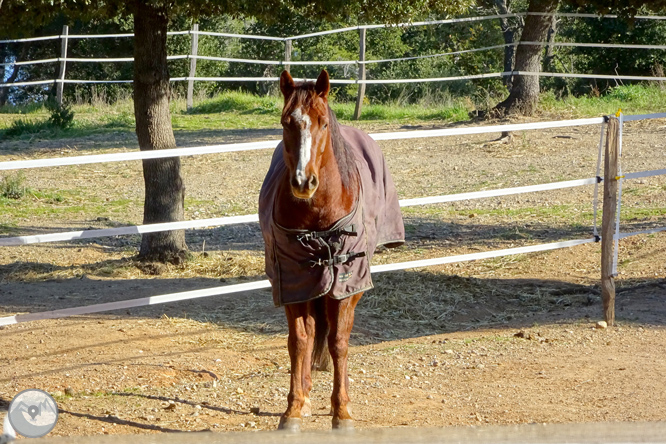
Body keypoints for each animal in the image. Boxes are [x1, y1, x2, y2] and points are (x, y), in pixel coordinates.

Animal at [256, 71, 402, 432]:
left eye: (322, 123)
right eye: (286, 122)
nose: (303, 182)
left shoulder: (347, 285)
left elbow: (338, 342)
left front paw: (342, 411)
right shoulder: (293, 282)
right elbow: (299, 341)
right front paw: (293, 408)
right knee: (309, 335)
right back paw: (306, 396)